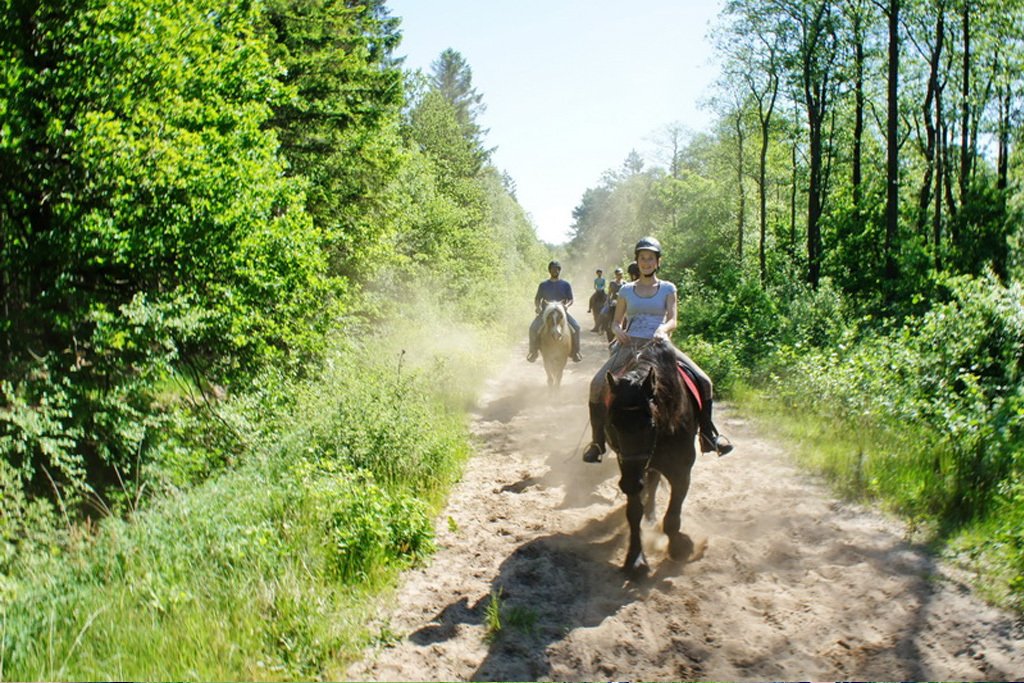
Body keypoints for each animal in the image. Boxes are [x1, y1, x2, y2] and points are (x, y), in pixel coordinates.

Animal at [602, 339, 700, 573]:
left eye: (650, 424)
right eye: (612, 424)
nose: (629, 484)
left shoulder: (682, 472)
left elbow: (672, 518)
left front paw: (678, 548)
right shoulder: (629, 467)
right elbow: (633, 512)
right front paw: (636, 558)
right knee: (651, 481)